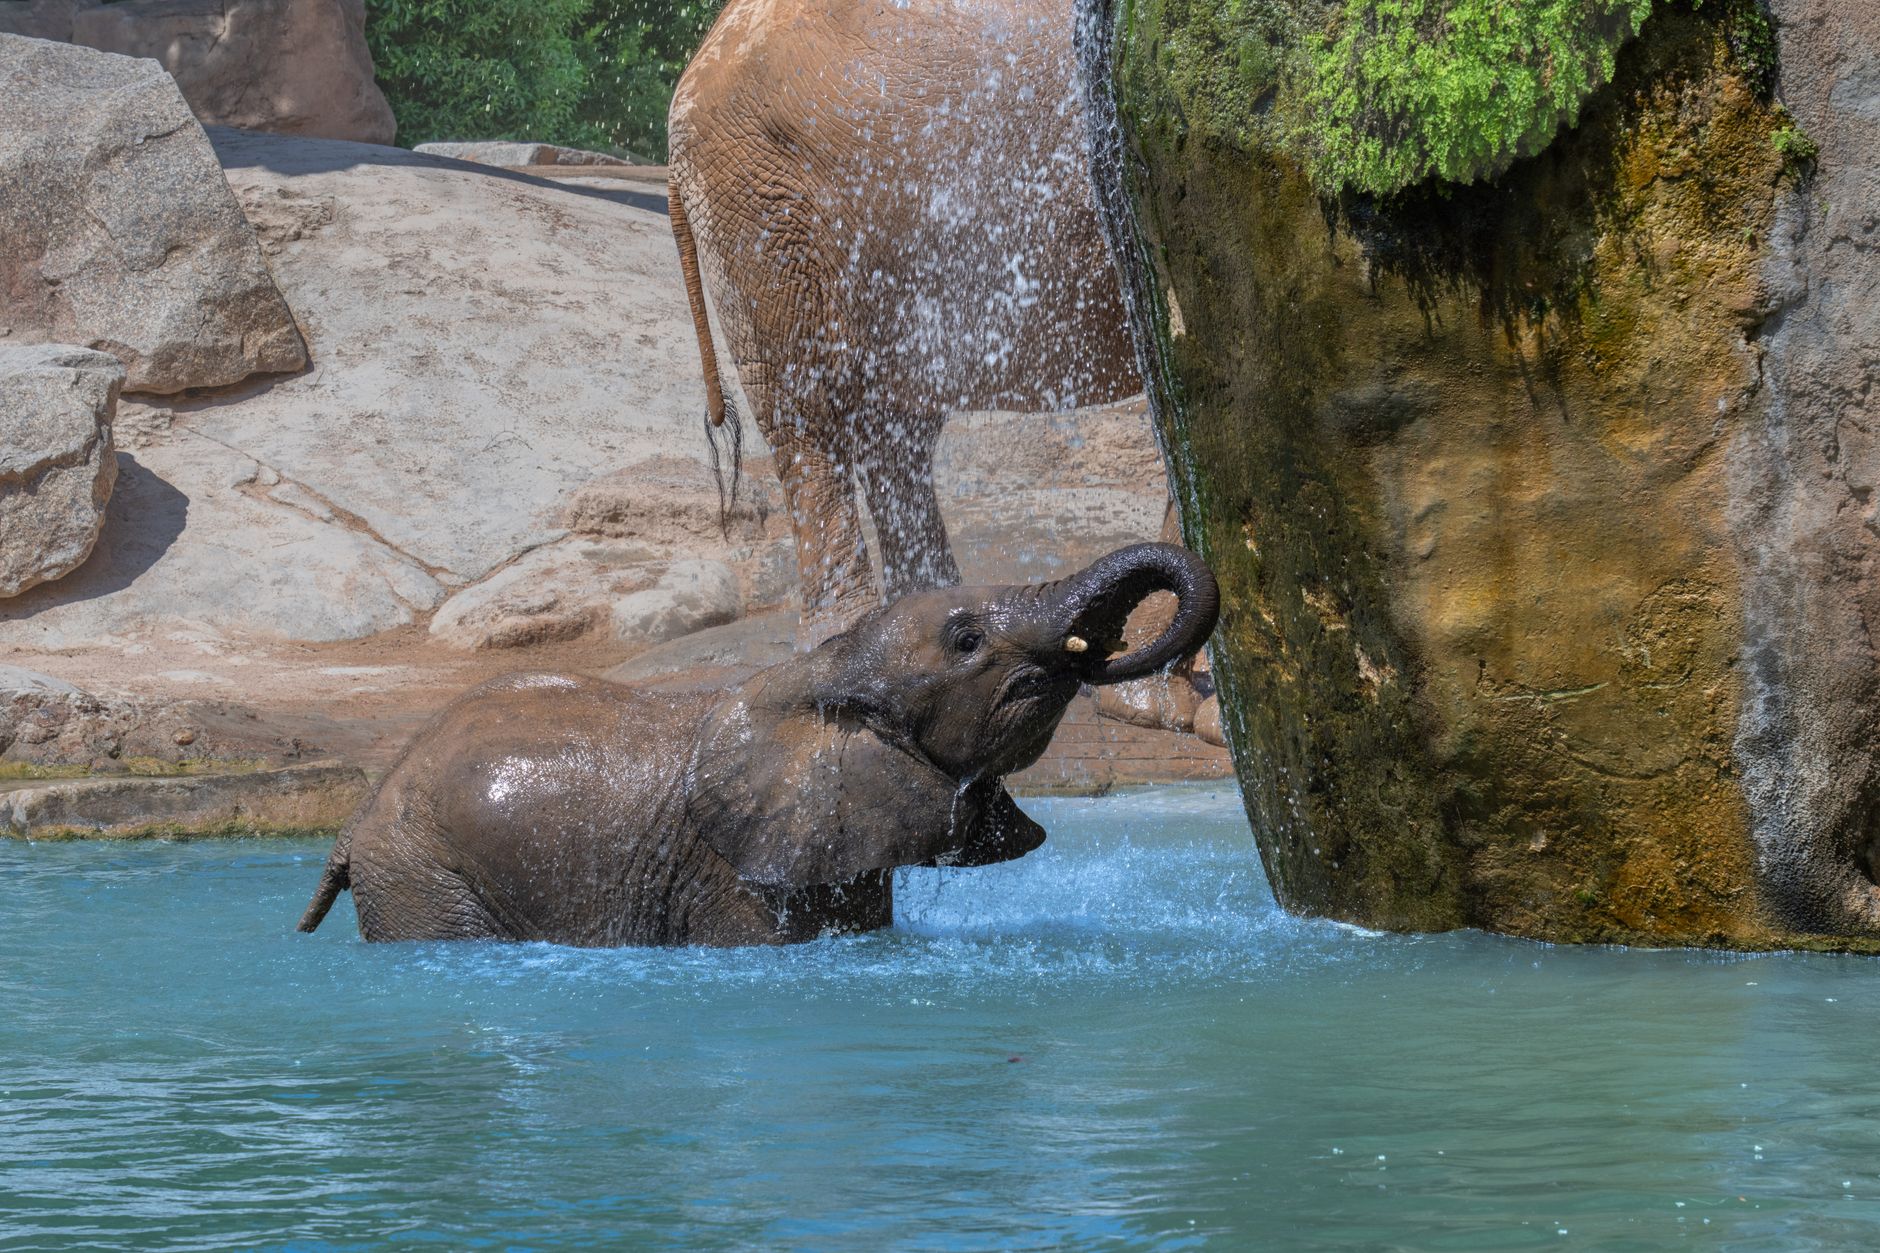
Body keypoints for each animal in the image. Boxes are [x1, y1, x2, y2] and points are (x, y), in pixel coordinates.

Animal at [295, 543, 1218, 946]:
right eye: (965, 640)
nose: (1102, 652)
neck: (824, 665)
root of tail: (358, 816)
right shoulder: (728, 871)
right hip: (423, 876)